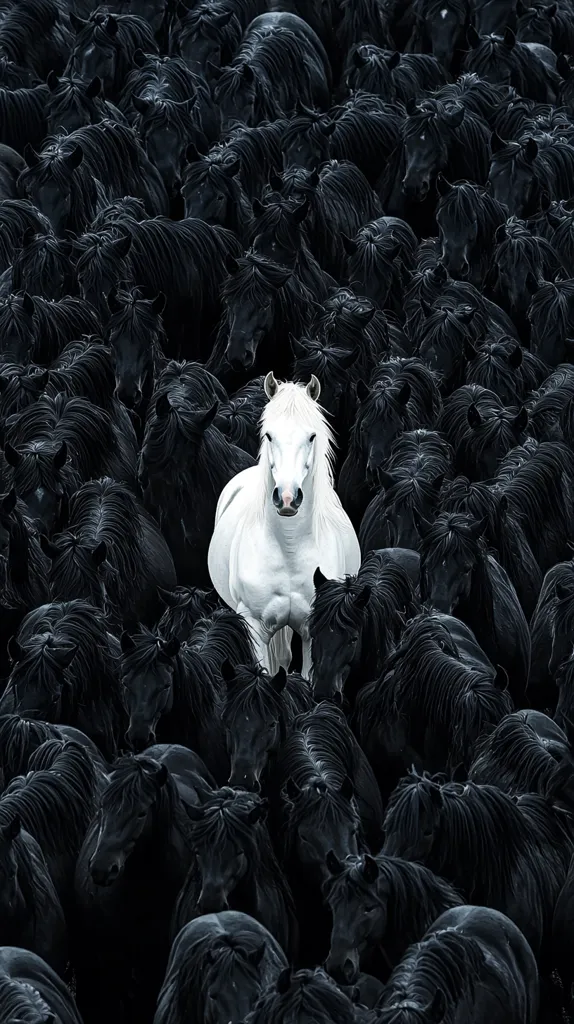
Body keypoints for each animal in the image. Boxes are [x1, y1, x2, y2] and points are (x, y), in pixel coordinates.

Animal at [208, 374, 361, 679]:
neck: (289, 545)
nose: (287, 498)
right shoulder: (254, 628)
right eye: (269, 435)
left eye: (311, 436)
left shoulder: (313, 631)